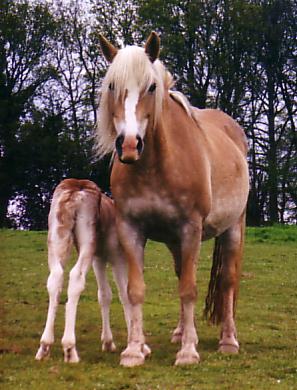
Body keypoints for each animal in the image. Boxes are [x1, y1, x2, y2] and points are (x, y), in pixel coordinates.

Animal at [35, 180, 131, 362]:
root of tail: (75, 188)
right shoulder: (116, 255)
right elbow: (125, 294)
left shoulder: (99, 258)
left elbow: (104, 294)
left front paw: (108, 342)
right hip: (87, 238)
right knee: (76, 277)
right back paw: (69, 348)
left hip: (56, 236)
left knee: (55, 277)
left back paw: (44, 347)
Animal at [96, 32, 249, 366]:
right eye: (112, 85)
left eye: (151, 87)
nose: (129, 145)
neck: (157, 164)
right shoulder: (131, 229)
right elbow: (136, 290)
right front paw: (133, 350)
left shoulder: (190, 229)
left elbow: (189, 289)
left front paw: (189, 352)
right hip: (174, 240)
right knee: (182, 273)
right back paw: (180, 333)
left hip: (232, 229)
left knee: (228, 281)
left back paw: (228, 340)